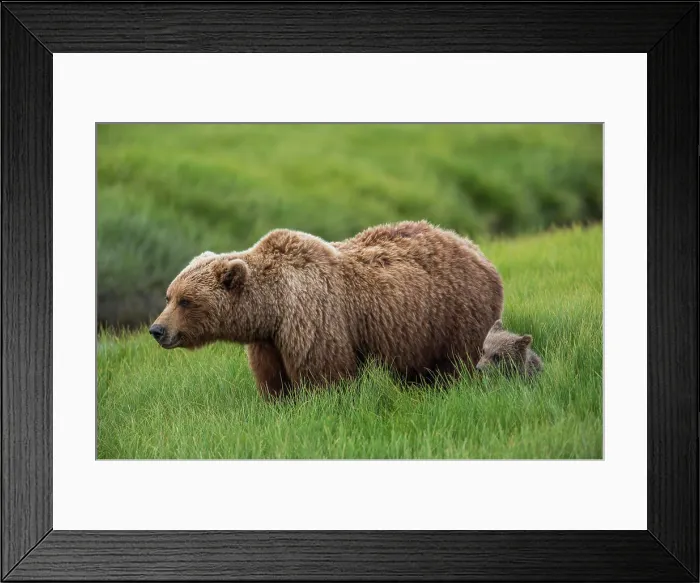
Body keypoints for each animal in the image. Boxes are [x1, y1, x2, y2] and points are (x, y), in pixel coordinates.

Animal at [149, 220, 504, 399]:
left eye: (186, 300)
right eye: (169, 296)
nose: (157, 330)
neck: (271, 307)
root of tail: (474, 248)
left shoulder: (312, 317)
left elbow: (324, 372)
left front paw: (323, 401)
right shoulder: (268, 340)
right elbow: (272, 379)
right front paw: (278, 402)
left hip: (456, 311)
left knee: (458, 360)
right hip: (420, 329)